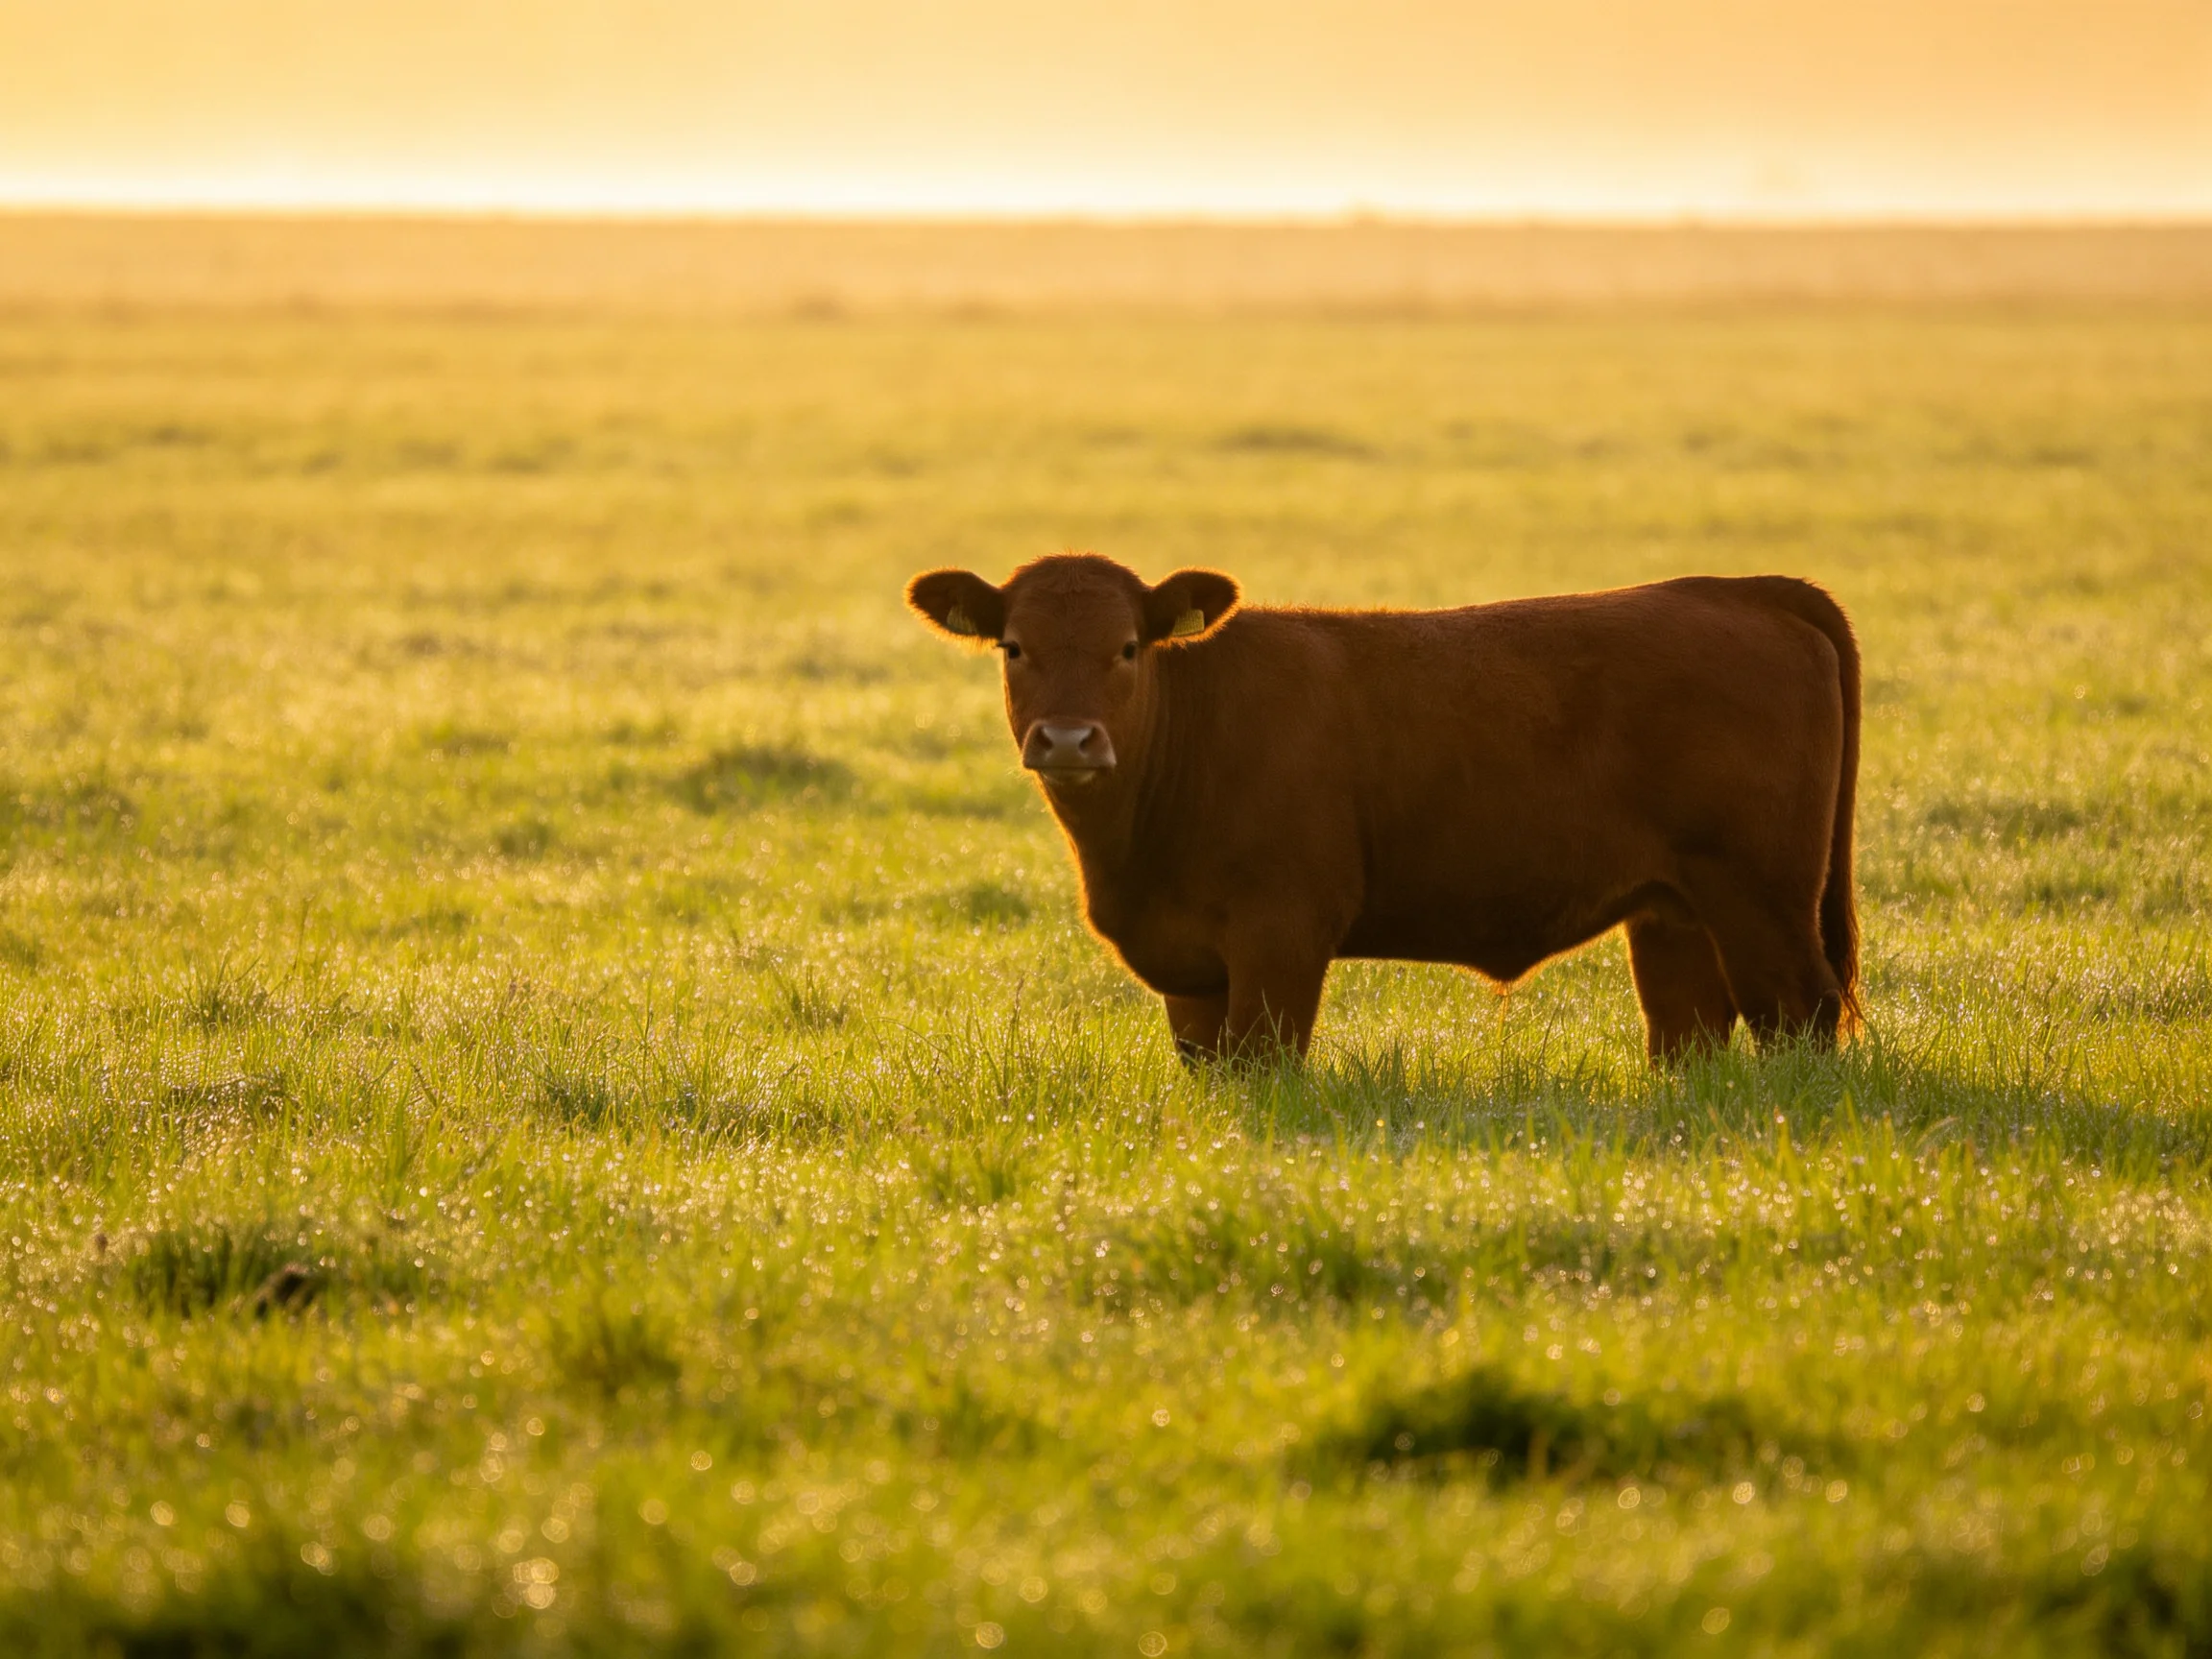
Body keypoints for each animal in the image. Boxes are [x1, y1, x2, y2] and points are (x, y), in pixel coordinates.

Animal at [906, 554, 1859, 1065]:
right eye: (1014, 646)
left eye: (1129, 648)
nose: (1069, 740)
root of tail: (1732, 588)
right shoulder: (1191, 969)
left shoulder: (1283, 932)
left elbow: (1263, 1064)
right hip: (1674, 911)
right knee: (1691, 1029)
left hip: (1763, 898)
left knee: (1799, 1017)